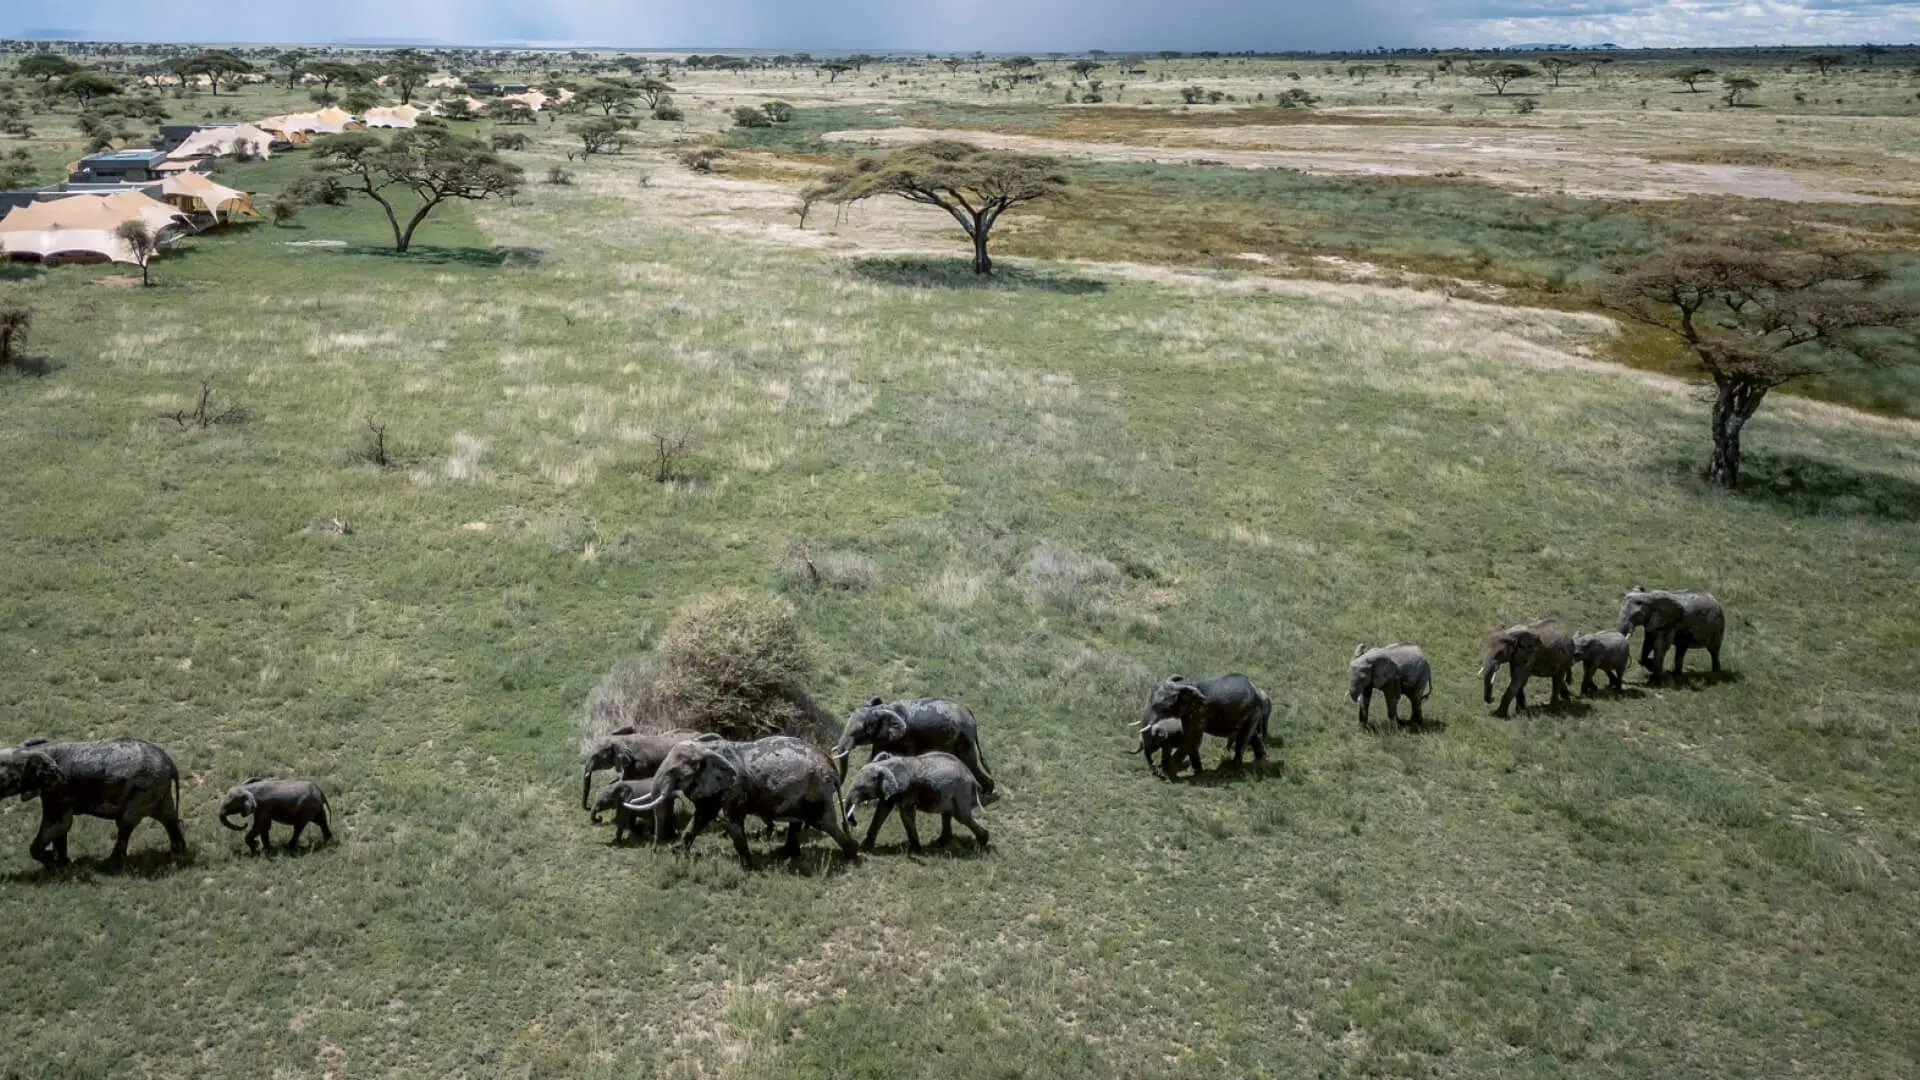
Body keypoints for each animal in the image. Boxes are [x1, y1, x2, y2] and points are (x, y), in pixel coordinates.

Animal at [0, 737, 187, 871]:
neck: (33, 750)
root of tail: (171, 763)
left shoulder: (58, 788)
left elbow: (58, 824)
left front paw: (54, 862)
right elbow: (60, 828)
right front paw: (61, 866)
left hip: (145, 786)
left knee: (126, 822)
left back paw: (110, 866)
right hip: (156, 787)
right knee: (168, 818)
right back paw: (177, 857)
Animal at [624, 736, 859, 865]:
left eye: (674, 772)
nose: (655, 851)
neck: (707, 749)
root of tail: (832, 768)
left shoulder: (734, 786)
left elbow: (732, 821)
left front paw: (748, 865)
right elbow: (702, 814)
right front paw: (678, 853)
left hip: (818, 788)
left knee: (824, 822)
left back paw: (852, 854)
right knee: (801, 820)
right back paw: (786, 854)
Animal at [831, 698, 996, 799]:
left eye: (860, 731)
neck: (882, 708)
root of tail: (970, 713)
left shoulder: (906, 737)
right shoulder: (884, 738)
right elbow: (874, 758)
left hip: (963, 737)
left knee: (970, 761)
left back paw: (987, 793)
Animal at [843, 752, 990, 853]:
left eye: (864, 791)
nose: (853, 823)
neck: (886, 765)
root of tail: (973, 780)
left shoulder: (906, 790)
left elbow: (905, 814)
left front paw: (916, 851)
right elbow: (882, 811)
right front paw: (865, 847)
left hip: (961, 792)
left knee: (962, 817)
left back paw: (981, 844)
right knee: (947, 814)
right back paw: (941, 843)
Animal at [1139, 674, 1271, 777]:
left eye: (1161, 707)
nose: (1154, 768)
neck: (1184, 684)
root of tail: (1257, 690)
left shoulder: (1201, 710)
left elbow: (1191, 739)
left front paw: (1164, 771)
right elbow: (1191, 740)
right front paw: (1197, 772)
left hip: (1253, 710)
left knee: (1243, 737)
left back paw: (1235, 768)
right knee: (1253, 735)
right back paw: (1262, 759)